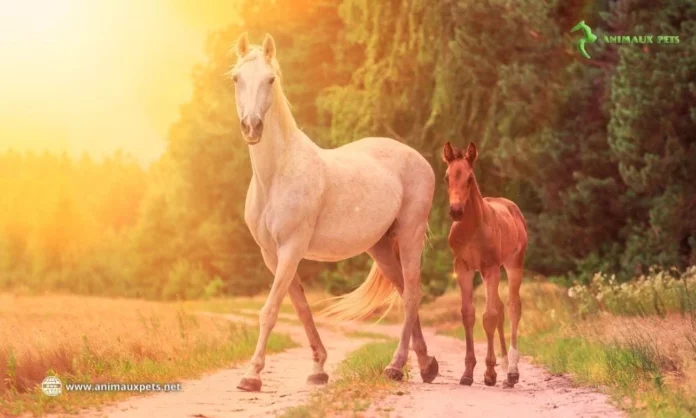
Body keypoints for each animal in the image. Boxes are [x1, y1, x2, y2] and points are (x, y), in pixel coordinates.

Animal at [231, 33, 438, 392]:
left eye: (270, 79)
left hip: (410, 232)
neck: (277, 174)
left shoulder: (291, 249)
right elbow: (301, 308)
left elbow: (270, 310)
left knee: (412, 294)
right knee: (403, 293)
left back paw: (396, 366)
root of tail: (418, 158)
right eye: (236, 78)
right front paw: (318, 368)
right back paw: (426, 365)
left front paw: (251, 375)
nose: (252, 127)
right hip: (381, 247)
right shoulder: (272, 254)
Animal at [446, 141, 528, 388]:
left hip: (512, 265)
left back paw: (512, 372)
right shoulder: (463, 268)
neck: (472, 228)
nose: (456, 211)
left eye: (469, 178)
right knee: (500, 308)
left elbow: (488, 317)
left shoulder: (490, 267)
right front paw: (468, 372)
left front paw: (490, 372)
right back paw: (504, 365)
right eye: (447, 177)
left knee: (512, 307)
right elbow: (468, 314)